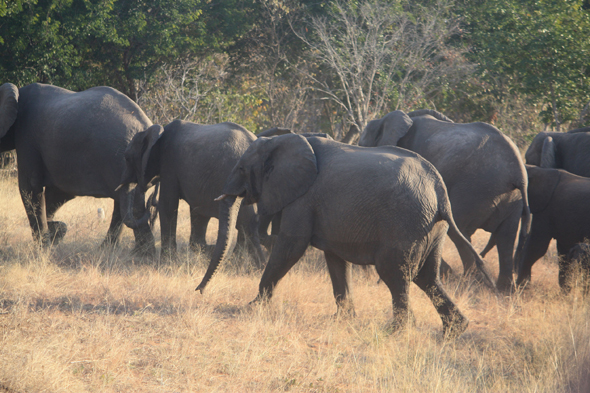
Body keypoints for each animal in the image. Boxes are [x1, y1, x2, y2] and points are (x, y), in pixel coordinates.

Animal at [0, 82, 156, 254]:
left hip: (122, 159)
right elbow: (57, 193)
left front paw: (44, 247)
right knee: (128, 203)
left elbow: (30, 188)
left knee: (130, 204)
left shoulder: (27, 137)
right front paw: (56, 231)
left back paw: (138, 254)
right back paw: (117, 251)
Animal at [197, 133, 498, 336]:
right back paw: (455, 331)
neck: (282, 141)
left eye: (240, 168)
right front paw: (342, 320)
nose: (198, 291)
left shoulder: (303, 198)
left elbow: (291, 246)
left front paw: (252, 307)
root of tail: (439, 189)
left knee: (396, 274)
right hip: (432, 228)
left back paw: (397, 331)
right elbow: (335, 260)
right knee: (427, 277)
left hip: (407, 223)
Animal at [358, 108, 536, 290]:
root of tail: (519, 172)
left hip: (476, 187)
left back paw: (469, 282)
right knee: (506, 238)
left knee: (459, 228)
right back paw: (503, 290)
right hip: (511, 198)